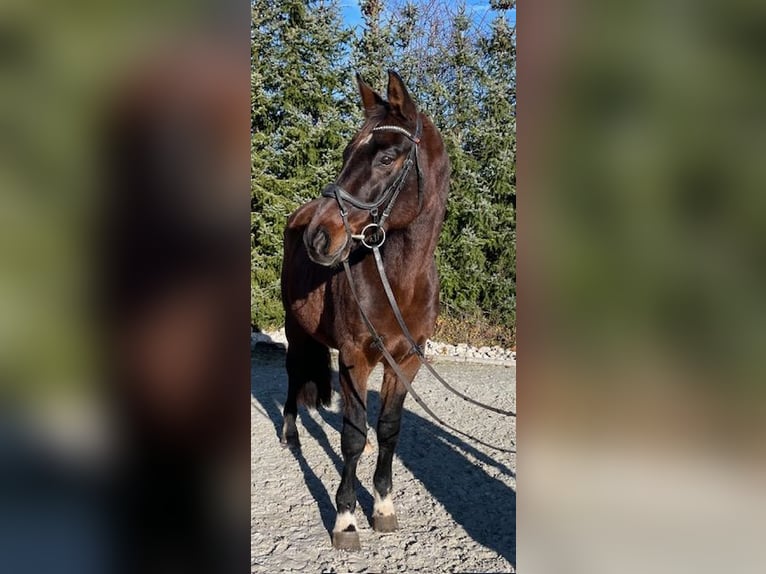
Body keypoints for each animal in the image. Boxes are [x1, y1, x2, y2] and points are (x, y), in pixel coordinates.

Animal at [280, 70, 450, 552]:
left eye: (387, 157)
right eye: (345, 153)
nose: (319, 238)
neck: (398, 281)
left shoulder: (407, 360)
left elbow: (389, 428)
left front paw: (384, 507)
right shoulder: (354, 356)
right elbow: (352, 435)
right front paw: (346, 519)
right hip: (296, 329)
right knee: (294, 374)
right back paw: (290, 433)